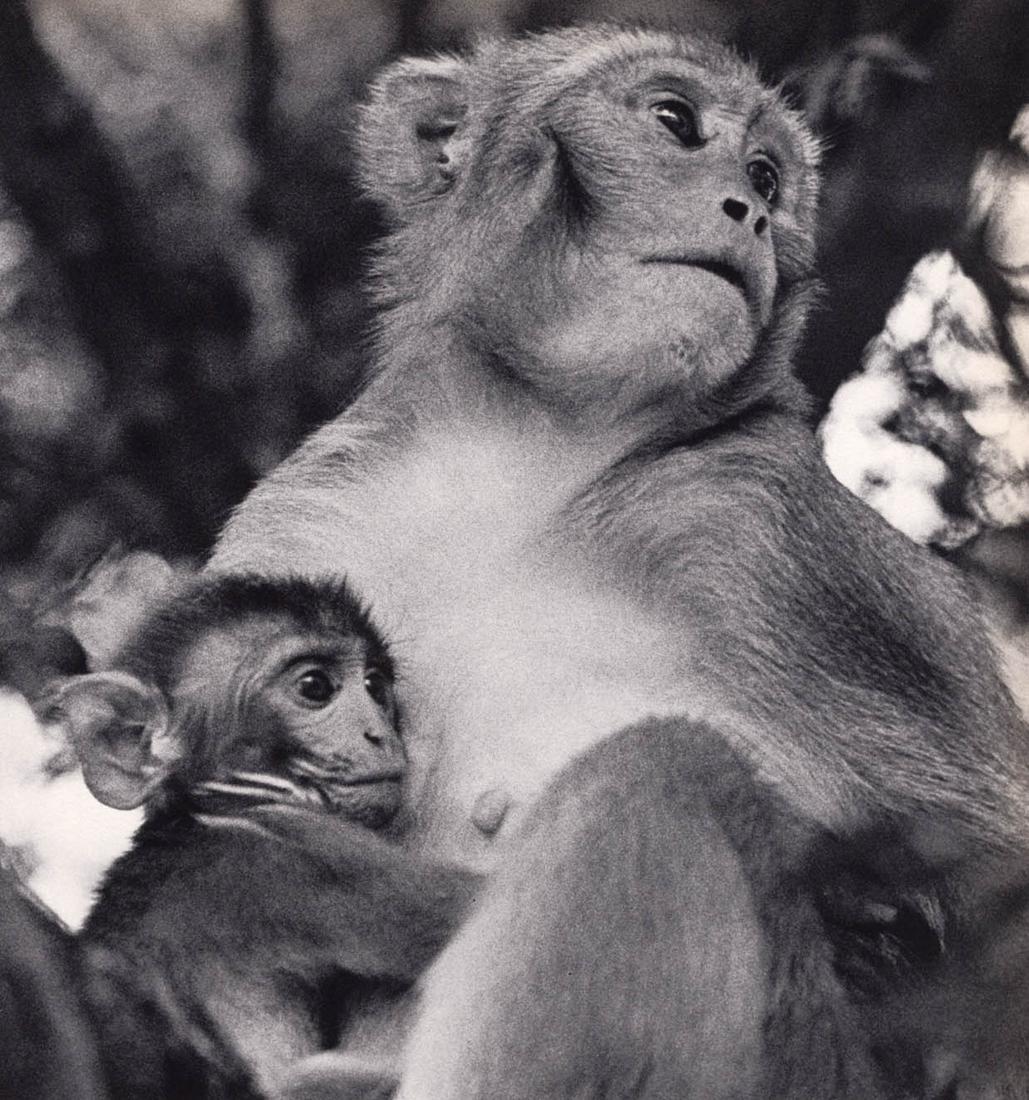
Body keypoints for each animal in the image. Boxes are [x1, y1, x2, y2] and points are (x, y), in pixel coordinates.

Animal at [196, 24, 1029, 1096]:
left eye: (766, 172)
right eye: (675, 122)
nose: (750, 209)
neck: (536, 447)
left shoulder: (775, 539)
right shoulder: (303, 519)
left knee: (656, 772)